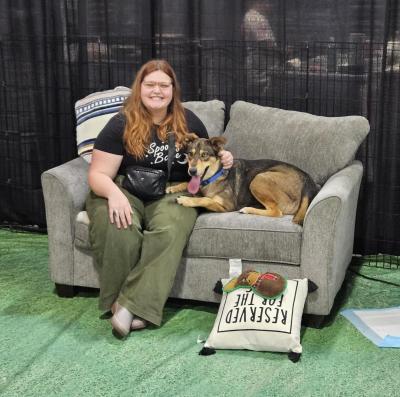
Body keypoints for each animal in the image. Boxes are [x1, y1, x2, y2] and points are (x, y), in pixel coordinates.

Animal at [166, 135, 318, 224]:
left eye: (204, 155)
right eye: (189, 154)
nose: (191, 171)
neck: (215, 175)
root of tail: (306, 178)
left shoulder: (227, 206)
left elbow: (205, 199)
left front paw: (185, 200)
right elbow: (187, 184)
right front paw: (173, 187)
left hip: (258, 179)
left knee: (276, 212)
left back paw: (247, 209)